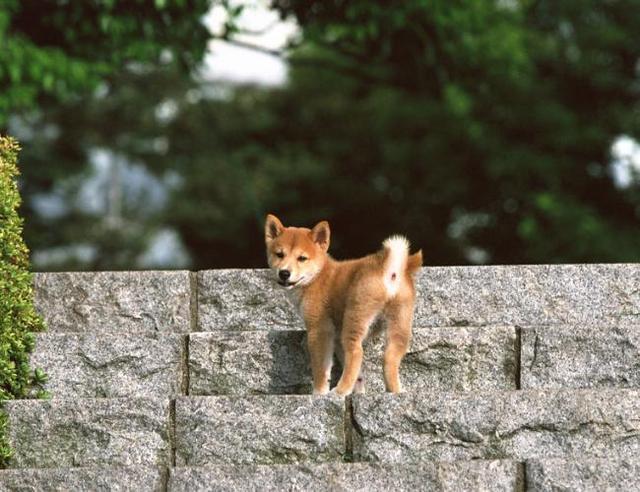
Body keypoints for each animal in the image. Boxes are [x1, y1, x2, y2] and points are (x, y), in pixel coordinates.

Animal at [262, 215, 422, 396]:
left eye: (302, 258)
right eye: (279, 254)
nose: (284, 273)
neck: (317, 277)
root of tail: (389, 270)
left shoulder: (320, 329)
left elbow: (321, 369)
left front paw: (320, 392)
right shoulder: (337, 338)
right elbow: (354, 371)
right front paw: (357, 391)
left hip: (355, 317)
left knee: (356, 353)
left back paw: (340, 390)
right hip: (399, 323)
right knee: (390, 357)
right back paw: (395, 391)